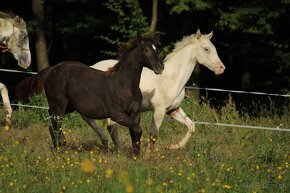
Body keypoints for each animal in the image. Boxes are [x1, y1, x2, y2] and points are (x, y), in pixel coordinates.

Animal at [92, 29, 225, 151]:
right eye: (206, 49)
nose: (221, 68)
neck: (171, 78)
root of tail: (93, 66)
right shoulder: (159, 110)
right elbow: (153, 135)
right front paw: (147, 157)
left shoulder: (173, 109)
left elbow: (191, 126)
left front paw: (172, 146)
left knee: (110, 127)